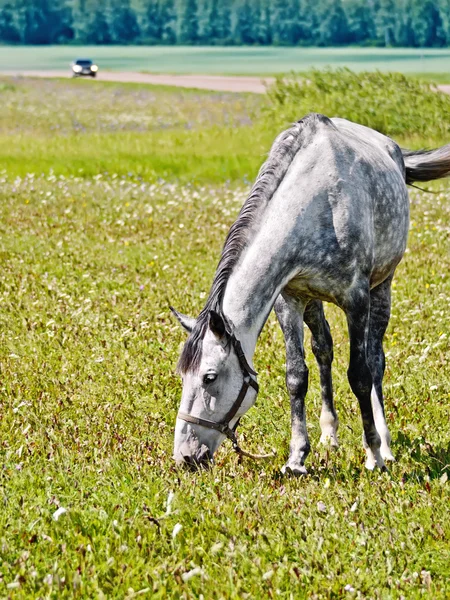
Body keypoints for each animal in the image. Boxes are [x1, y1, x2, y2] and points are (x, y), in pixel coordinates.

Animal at [171, 113, 450, 474]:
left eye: (209, 377)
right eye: (182, 375)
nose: (185, 456)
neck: (316, 206)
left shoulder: (356, 299)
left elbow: (360, 375)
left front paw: (373, 454)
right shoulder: (288, 302)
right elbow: (296, 376)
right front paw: (297, 457)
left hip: (382, 288)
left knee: (376, 360)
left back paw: (386, 446)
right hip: (313, 302)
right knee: (323, 350)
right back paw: (329, 435)